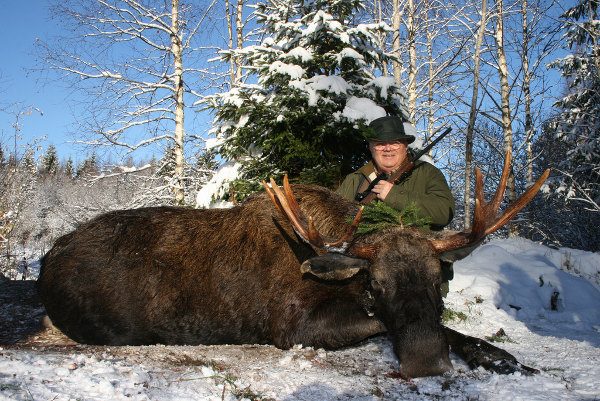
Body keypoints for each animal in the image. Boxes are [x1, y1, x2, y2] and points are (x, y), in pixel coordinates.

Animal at [35, 152, 548, 376]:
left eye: (436, 280)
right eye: (376, 283)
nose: (425, 362)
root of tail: (46, 260)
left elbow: (451, 329)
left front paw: (496, 354)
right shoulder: (291, 326)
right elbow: (381, 322)